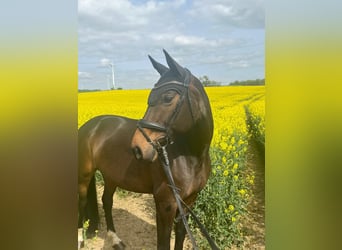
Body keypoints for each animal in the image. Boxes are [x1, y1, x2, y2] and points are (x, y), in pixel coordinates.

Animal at [78, 49, 214, 249]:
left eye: (168, 97)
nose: (137, 148)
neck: (191, 158)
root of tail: (90, 126)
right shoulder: (165, 204)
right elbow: (163, 243)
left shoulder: (189, 202)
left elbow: (180, 236)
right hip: (84, 175)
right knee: (81, 202)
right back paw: (80, 239)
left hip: (111, 176)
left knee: (106, 201)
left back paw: (115, 239)